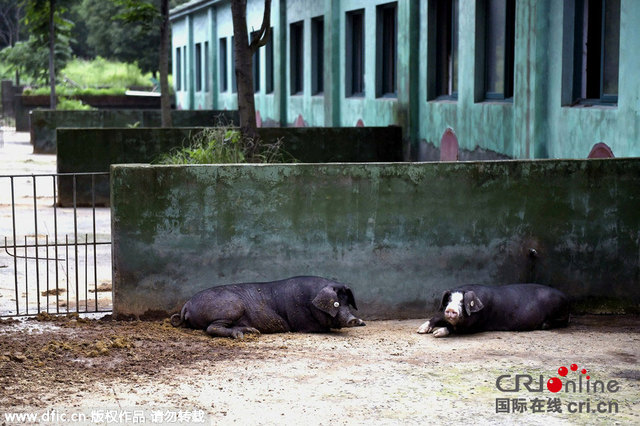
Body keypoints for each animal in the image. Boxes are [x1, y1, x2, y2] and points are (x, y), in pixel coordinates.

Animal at [170, 276, 364, 340]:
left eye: (347, 303)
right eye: (336, 304)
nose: (354, 319)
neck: (310, 300)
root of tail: (187, 304)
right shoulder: (301, 319)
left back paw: (252, 332)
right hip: (231, 306)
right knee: (212, 328)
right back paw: (240, 336)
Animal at [418, 284, 572, 338]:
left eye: (462, 302)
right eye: (449, 301)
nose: (451, 309)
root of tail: (566, 297)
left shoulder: (475, 325)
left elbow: (453, 328)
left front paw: (436, 334)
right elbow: (438, 317)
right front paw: (420, 330)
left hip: (559, 313)